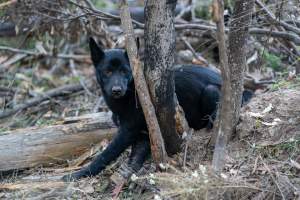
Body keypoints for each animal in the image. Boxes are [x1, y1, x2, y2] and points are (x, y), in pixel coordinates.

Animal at [62, 38, 252, 181]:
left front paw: (79, 174)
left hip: (211, 91)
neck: (131, 92)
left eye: (124, 71)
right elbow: (135, 155)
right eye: (107, 71)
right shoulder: (144, 134)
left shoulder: (128, 131)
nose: (116, 90)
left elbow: (105, 155)